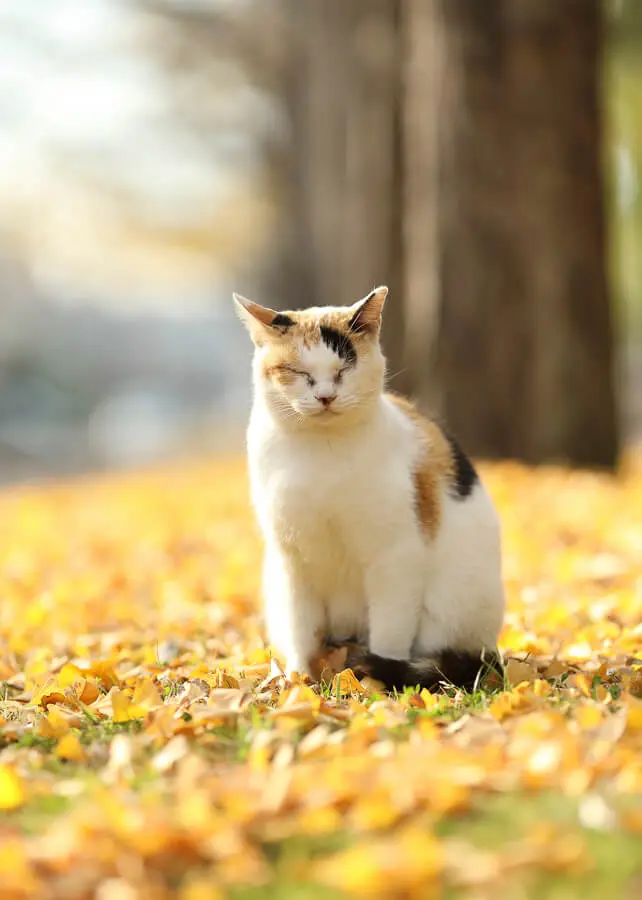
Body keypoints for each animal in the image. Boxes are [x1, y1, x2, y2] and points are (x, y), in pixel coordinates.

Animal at [232, 284, 502, 692]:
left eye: (345, 369)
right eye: (299, 372)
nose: (325, 396)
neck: (321, 453)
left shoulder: (396, 556)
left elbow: (389, 632)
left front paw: (377, 687)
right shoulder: (292, 558)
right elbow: (300, 628)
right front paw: (298, 681)